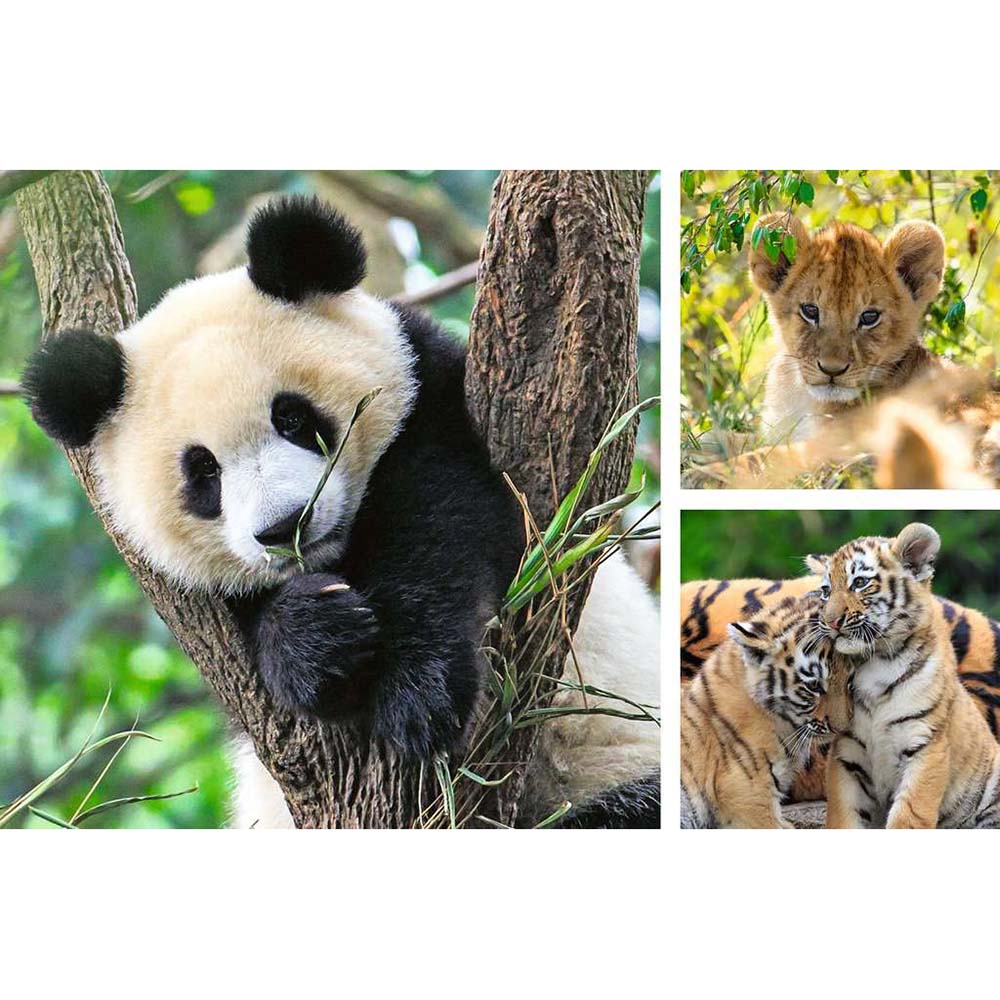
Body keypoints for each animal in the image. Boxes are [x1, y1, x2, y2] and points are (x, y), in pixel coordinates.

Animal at [22, 195, 660, 829]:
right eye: (203, 472)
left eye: (293, 417)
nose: (286, 527)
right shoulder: (204, 609)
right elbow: (255, 648)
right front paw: (316, 636)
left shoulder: (433, 399)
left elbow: (446, 525)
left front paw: (419, 696)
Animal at [813, 523, 1000, 828]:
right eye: (826, 592)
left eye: (859, 582)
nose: (830, 621)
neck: (874, 661)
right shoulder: (847, 756)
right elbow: (844, 817)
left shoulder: (926, 745)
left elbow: (909, 816)